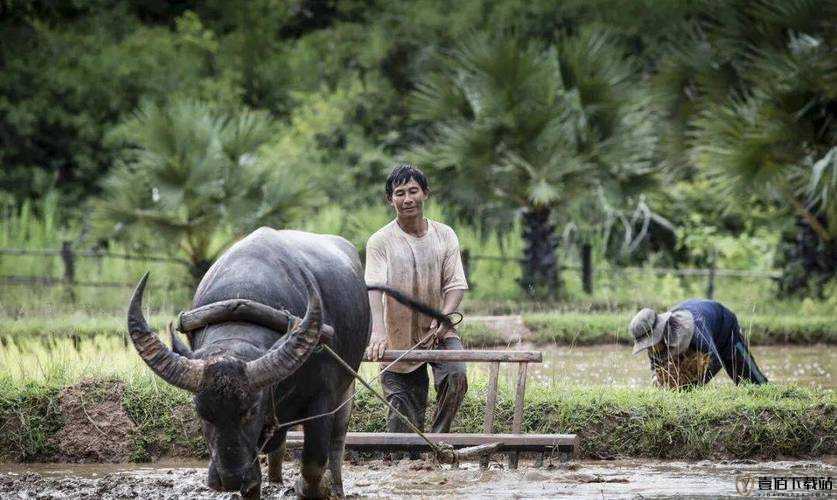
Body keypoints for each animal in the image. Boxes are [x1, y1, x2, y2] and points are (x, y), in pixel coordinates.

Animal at [126, 229, 370, 498]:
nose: (230, 479)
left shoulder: (322, 399)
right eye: (202, 413)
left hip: (347, 386)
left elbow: (313, 465)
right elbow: (254, 484)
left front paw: (313, 488)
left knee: (337, 441)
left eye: (251, 410)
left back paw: (336, 486)